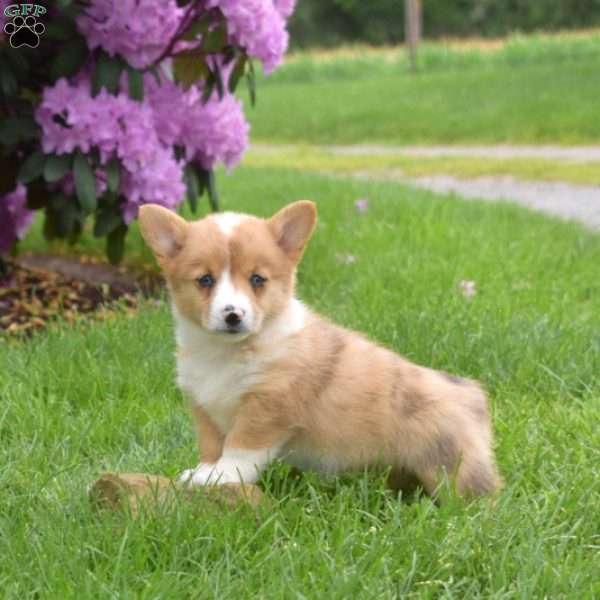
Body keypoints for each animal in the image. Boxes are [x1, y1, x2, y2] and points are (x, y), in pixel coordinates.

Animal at [138, 202, 500, 496]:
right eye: (205, 280)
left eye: (257, 280)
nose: (232, 315)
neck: (224, 353)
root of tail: (472, 395)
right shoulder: (204, 406)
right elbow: (211, 446)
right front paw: (202, 473)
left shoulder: (266, 407)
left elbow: (240, 448)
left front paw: (223, 476)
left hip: (451, 468)